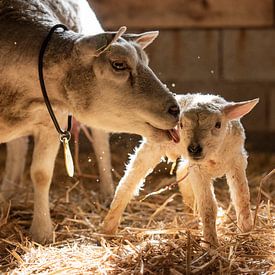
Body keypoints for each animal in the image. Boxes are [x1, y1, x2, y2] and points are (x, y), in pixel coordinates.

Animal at [103, 94, 258, 247]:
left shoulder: (237, 161)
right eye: (181, 125)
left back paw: (191, 218)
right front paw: (211, 244)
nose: (194, 148)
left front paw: (245, 232)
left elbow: (242, 199)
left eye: (218, 124)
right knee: (129, 182)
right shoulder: (198, 169)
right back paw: (108, 229)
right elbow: (208, 207)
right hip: (153, 146)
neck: (214, 156)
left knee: (181, 171)